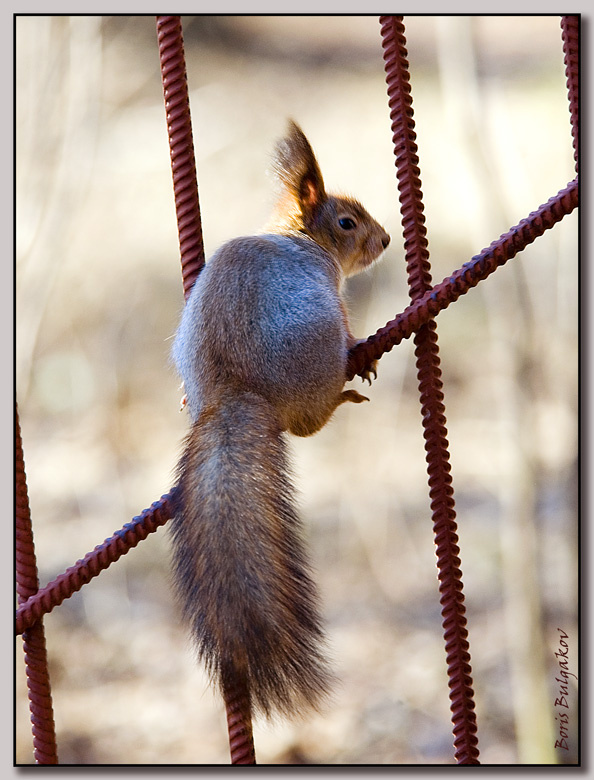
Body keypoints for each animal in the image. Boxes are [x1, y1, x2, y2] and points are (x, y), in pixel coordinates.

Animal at [170, 120, 390, 720]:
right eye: (347, 222)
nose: (385, 240)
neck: (299, 237)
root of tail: (237, 393)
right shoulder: (330, 289)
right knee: (307, 424)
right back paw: (343, 393)